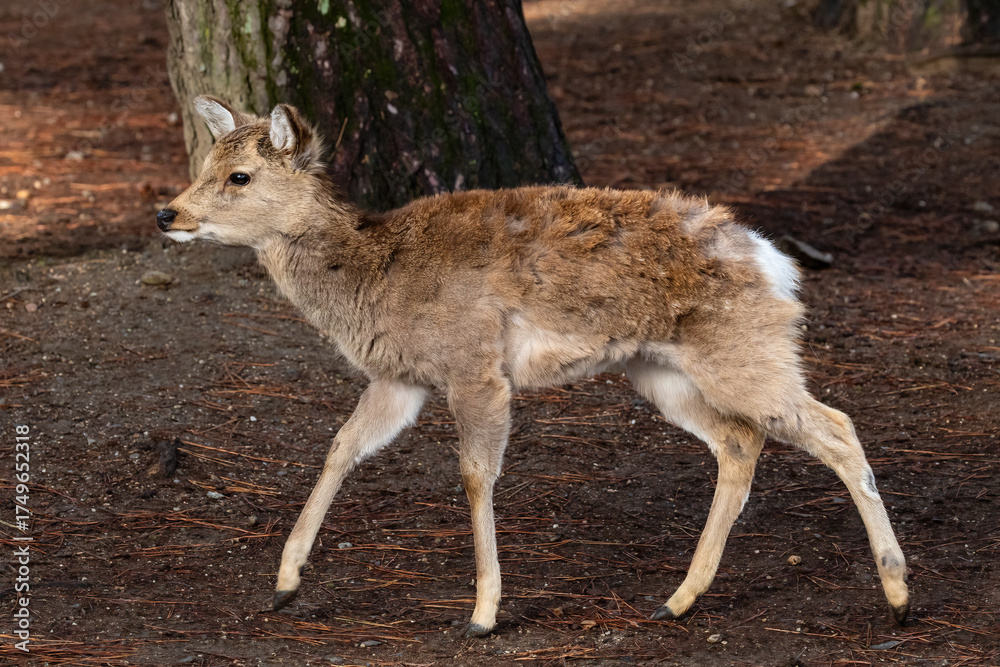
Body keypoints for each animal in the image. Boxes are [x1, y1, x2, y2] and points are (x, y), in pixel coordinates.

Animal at [156, 96, 909, 637]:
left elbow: (474, 474)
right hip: (662, 371)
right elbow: (341, 445)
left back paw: (899, 594)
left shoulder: (475, 366)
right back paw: (677, 600)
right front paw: (285, 582)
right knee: (740, 439)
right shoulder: (400, 377)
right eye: (204, 163)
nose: (167, 213)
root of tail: (776, 264)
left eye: (239, 175)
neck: (372, 275)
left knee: (836, 425)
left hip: (745, 351)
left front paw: (483, 613)